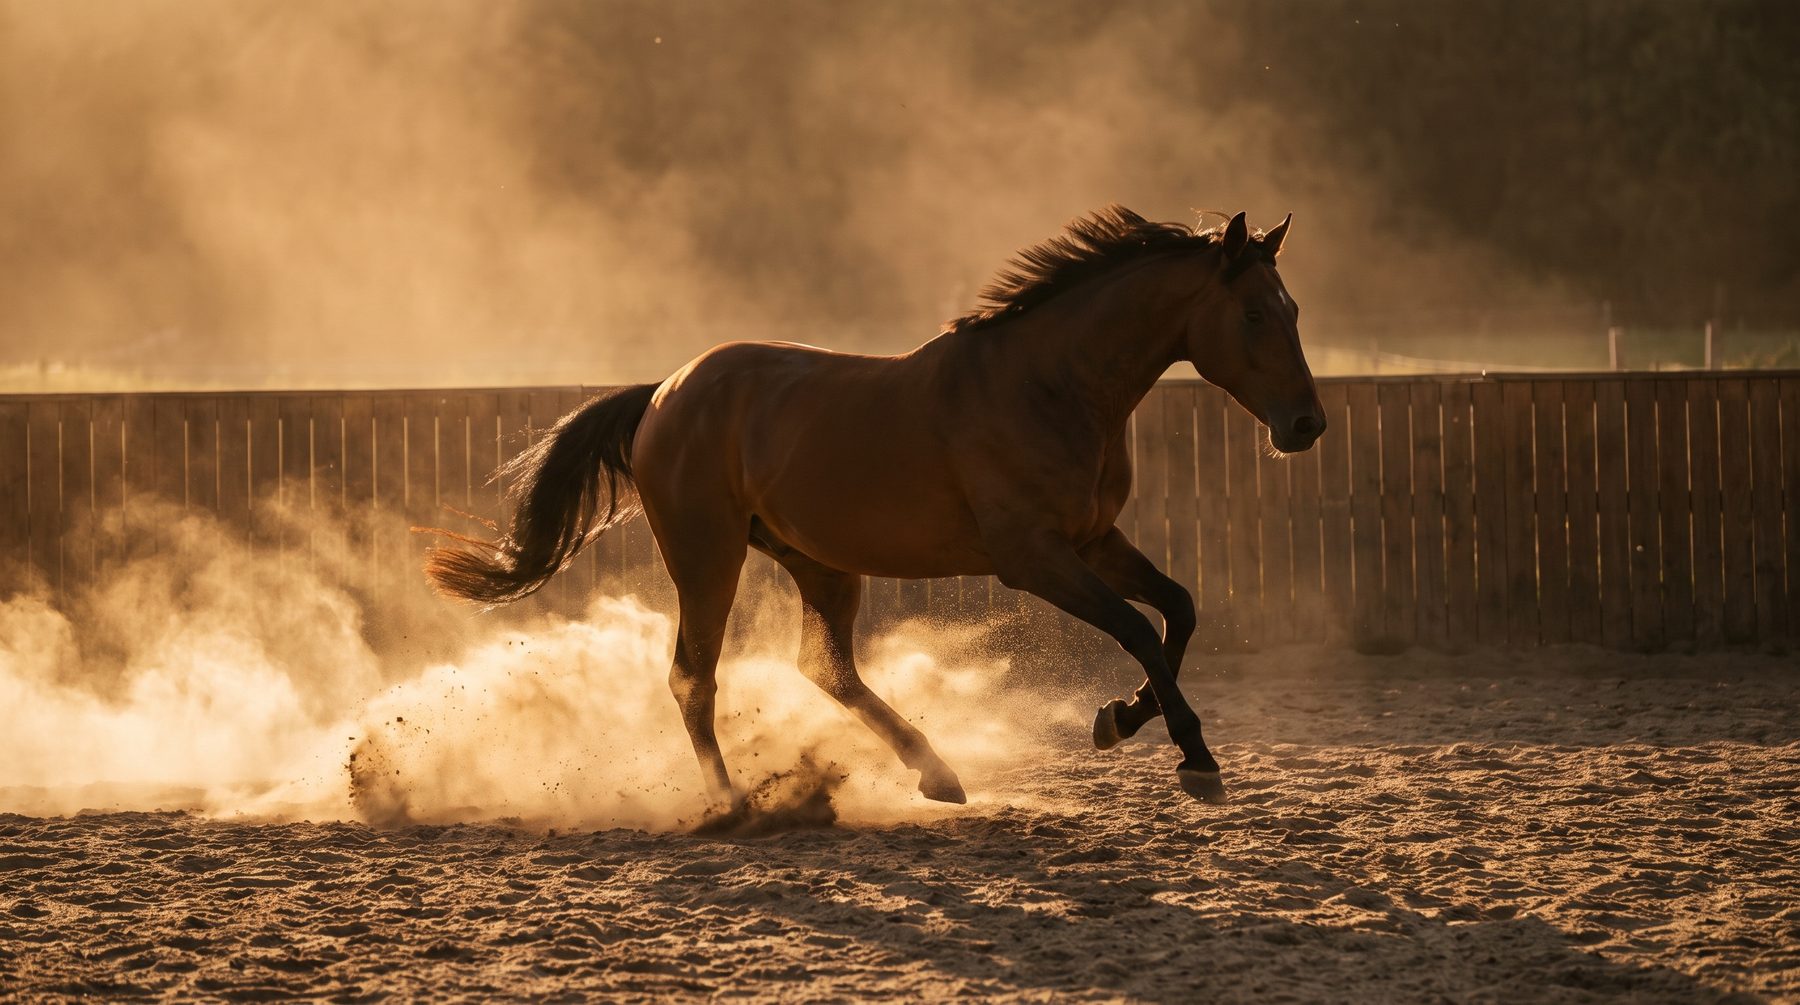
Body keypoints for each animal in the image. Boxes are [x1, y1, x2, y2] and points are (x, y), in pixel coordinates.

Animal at [424, 206, 1325, 807]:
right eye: (1253, 312)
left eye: (1294, 309)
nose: (1306, 424)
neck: (1049, 385)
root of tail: (662, 394)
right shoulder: (1034, 557)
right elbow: (1138, 626)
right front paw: (1193, 755)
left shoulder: (1095, 539)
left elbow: (1180, 608)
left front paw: (1119, 719)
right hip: (708, 558)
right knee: (693, 677)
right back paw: (734, 803)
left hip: (819, 564)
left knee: (825, 668)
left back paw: (936, 771)